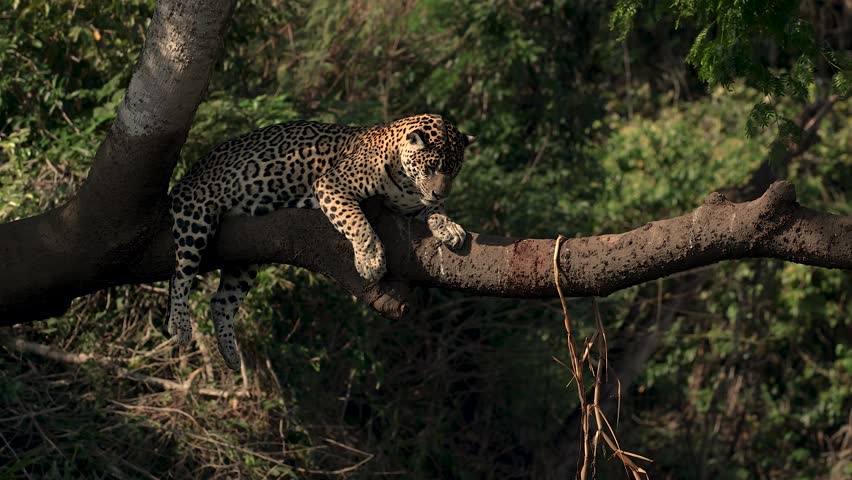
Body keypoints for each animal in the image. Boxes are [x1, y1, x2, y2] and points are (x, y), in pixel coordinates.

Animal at [167, 114, 475, 370]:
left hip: (246, 254)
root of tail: (188, 175)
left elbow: (434, 211)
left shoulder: (409, 205)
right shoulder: (332, 184)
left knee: (220, 301)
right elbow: (357, 223)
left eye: (454, 170)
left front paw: (450, 227)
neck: (407, 182)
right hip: (195, 216)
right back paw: (180, 325)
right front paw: (371, 261)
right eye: (431, 167)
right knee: (180, 273)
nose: (439, 192)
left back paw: (230, 354)